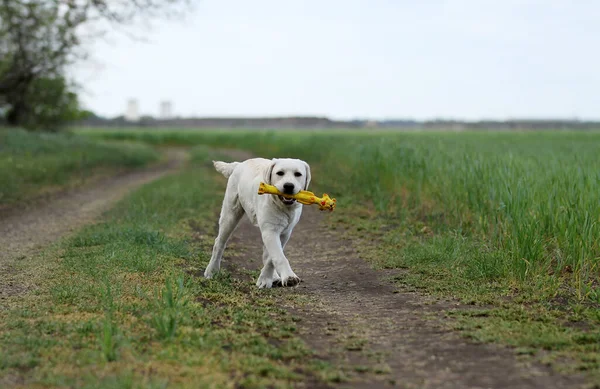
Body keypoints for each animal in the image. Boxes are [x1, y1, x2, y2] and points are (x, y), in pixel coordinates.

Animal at [204, 156, 312, 286]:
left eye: (298, 174)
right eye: (280, 173)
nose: (288, 186)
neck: (282, 206)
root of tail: (238, 164)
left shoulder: (285, 233)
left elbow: (272, 257)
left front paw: (266, 279)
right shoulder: (270, 231)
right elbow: (279, 256)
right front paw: (288, 277)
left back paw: (274, 277)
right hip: (230, 216)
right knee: (219, 243)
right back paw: (212, 270)